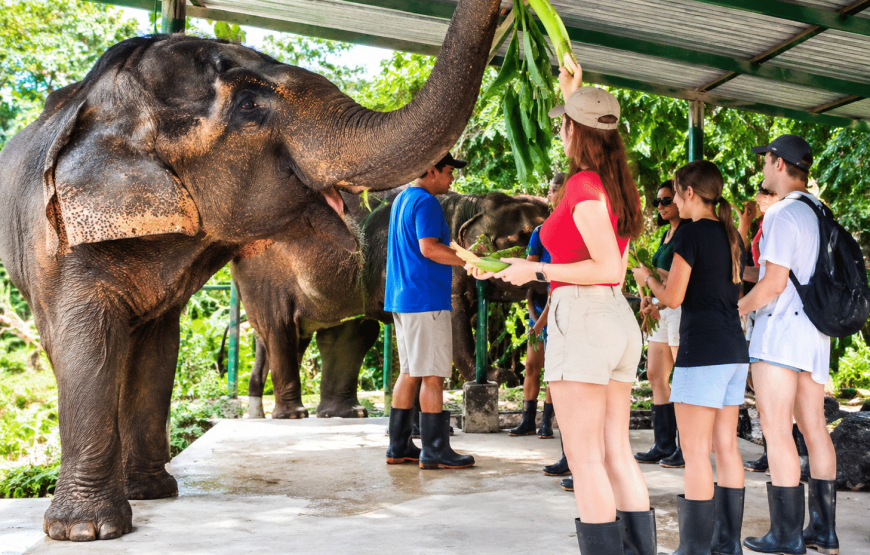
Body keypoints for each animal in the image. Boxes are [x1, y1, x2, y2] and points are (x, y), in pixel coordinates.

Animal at [0, 0, 501, 541]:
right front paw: (90, 532)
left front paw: (153, 494)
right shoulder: (60, 240)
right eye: (249, 106)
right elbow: (86, 342)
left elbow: (159, 349)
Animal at [234, 190, 549, 419]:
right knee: (281, 331)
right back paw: (294, 415)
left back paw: (344, 414)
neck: (469, 204)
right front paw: (501, 378)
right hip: (263, 278)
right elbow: (453, 322)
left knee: (347, 334)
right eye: (526, 236)